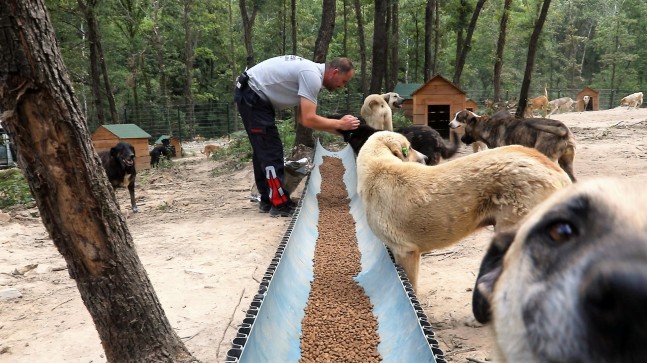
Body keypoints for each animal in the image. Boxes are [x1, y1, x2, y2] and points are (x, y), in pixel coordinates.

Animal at [356, 132, 576, 292]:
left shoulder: (405, 251)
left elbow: (412, 290)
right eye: (408, 148)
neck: (378, 166)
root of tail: (553, 168)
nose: (426, 158)